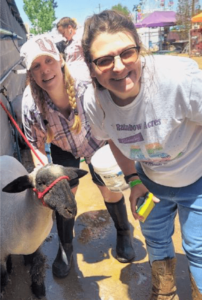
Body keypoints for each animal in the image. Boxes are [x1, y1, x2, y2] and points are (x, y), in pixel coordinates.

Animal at [0, 155, 87, 298]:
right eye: (41, 182)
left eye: (68, 180)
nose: (72, 209)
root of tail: (4, 156)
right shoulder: (1, 253)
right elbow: (2, 279)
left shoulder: (37, 246)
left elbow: (38, 266)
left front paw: (39, 290)